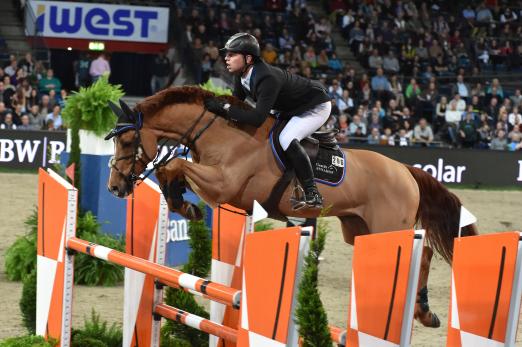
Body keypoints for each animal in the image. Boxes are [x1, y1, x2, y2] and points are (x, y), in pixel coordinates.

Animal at [104, 86, 476, 328]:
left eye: (128, 140)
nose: (115, 187)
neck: (219, 132)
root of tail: (405, 170)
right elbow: (171, 169)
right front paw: (180, 201)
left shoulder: (224, 184)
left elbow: (173, 166)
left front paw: (185, 202)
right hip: (359, 229)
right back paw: (417, 310)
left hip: (389, 225)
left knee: (423, 252)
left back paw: (424, 311)